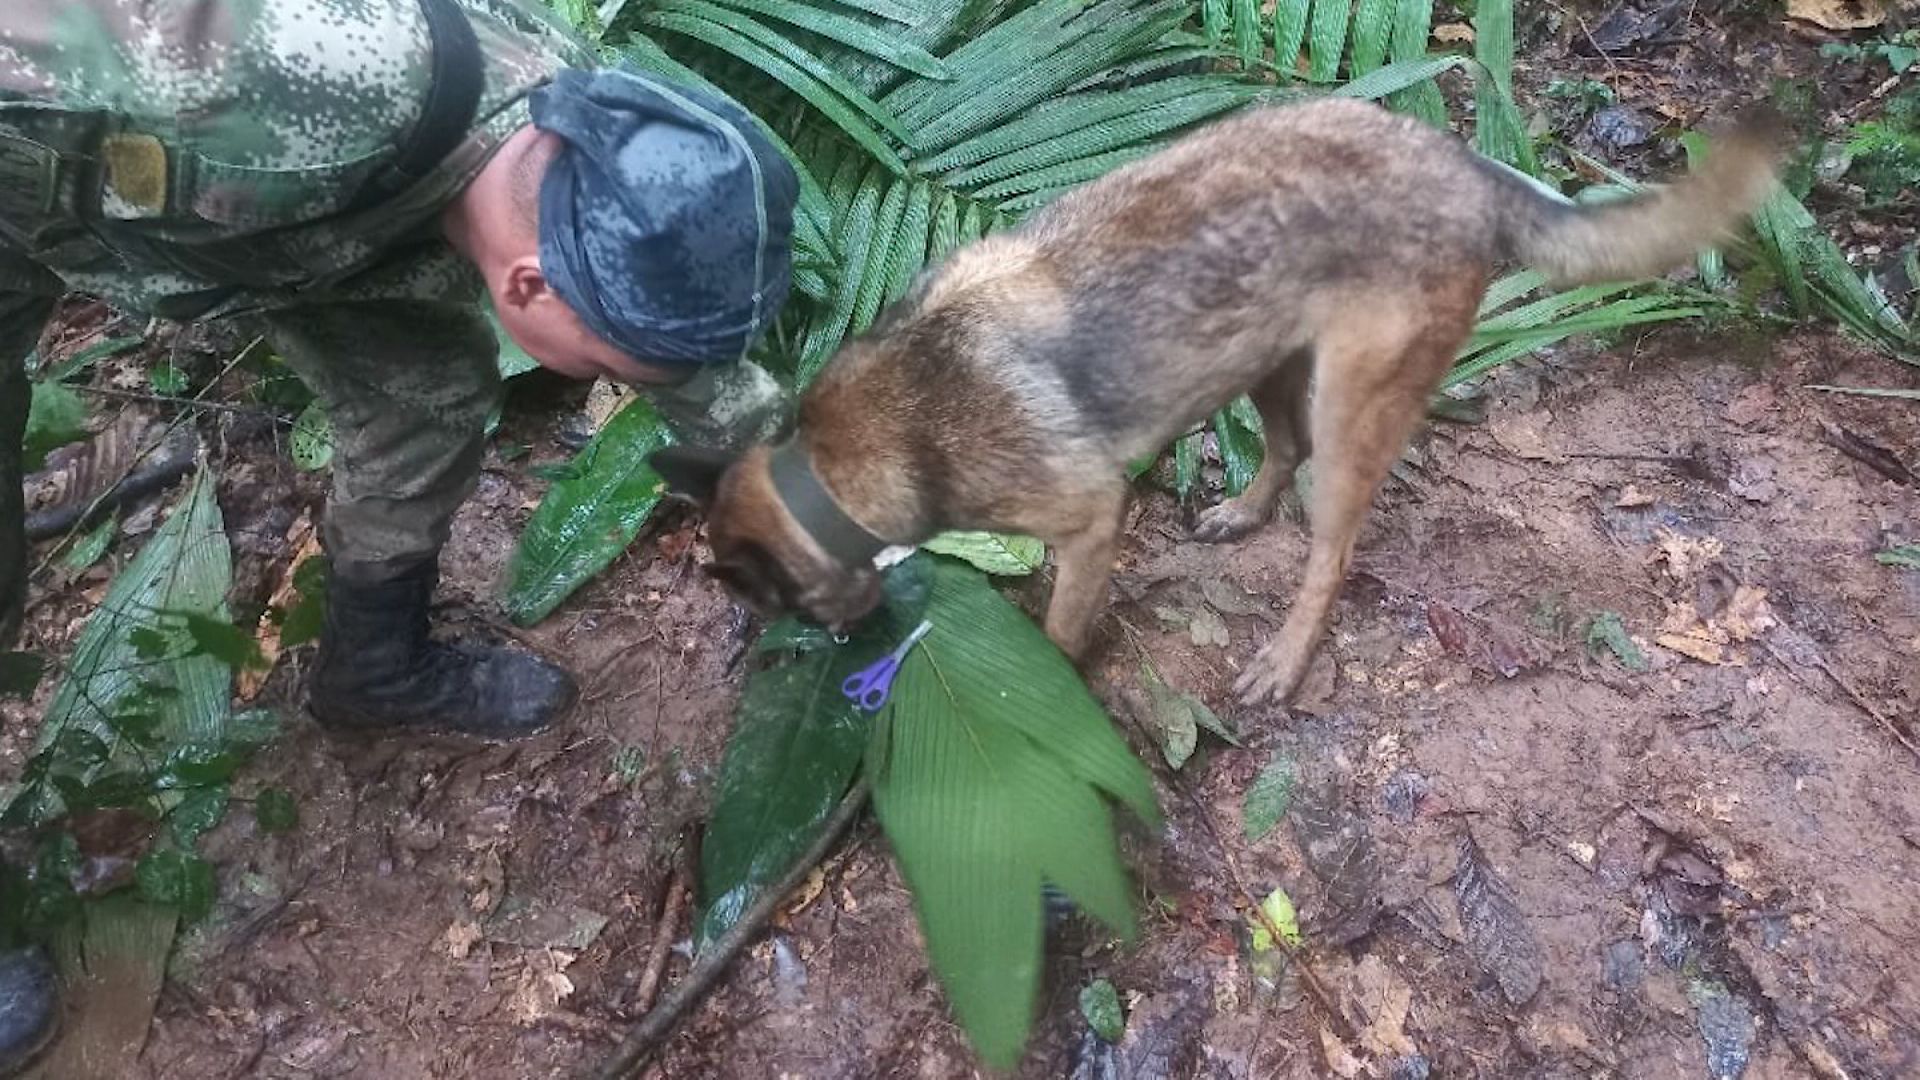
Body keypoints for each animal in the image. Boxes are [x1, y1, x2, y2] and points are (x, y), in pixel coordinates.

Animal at [656, 98, 1781, 707]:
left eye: (771, 605)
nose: (841, 651)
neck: (835, 463)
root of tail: (1468, 167)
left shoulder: (1089, 518)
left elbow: (1060, 629)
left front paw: (1049, 684)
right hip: (1263, 361)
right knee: (1279, 454)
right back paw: (1242, 513)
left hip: (1350, 407)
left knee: (1331, 549)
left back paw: (1284, 658)